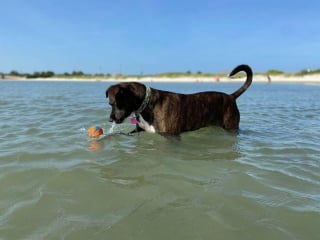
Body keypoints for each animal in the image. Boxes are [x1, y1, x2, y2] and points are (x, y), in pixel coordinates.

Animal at [107, 63, 252, 135]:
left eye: (113, 103)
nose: (110, 120)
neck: (147, 104)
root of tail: (231, 97)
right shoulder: (139, 131)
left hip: (231, 126)